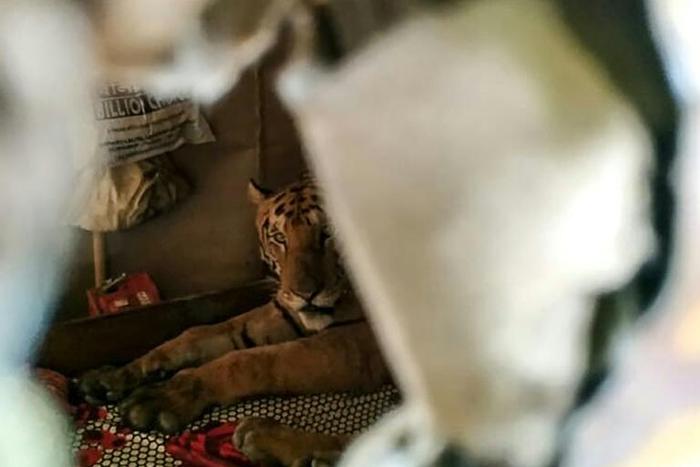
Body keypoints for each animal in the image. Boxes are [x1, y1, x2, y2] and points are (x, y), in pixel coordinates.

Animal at [79, 176, 391, 466]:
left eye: (328, 232)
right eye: (279, 238)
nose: (305, 294)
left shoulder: (359, 344)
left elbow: (251, 360)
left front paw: (163, 397)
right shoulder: (284, 313)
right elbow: (199, 334)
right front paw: (114, 377)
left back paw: (272, 440)